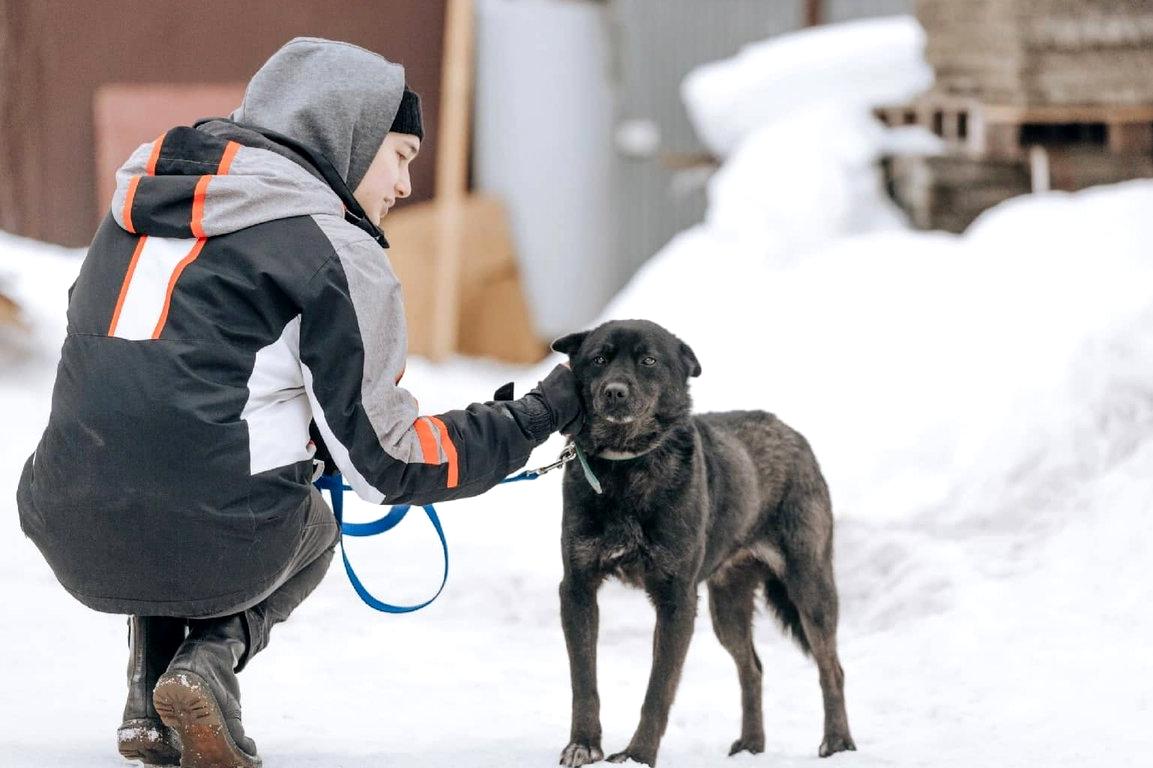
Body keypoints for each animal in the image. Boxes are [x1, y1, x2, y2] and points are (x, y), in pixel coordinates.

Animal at [548, 315, 857, 761]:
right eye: (598, 359)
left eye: (648, 360)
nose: (615, 391)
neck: (626, 466)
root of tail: (789, 432)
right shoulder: (578, 588)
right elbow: (584, 681)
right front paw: (583, 746)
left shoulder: (676, 599)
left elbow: (658, 690)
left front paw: (638, 756)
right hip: (726, 606)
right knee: (752, 669)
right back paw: (751, 745)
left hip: (810, 589)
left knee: (831, 668)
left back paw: (837, 742)